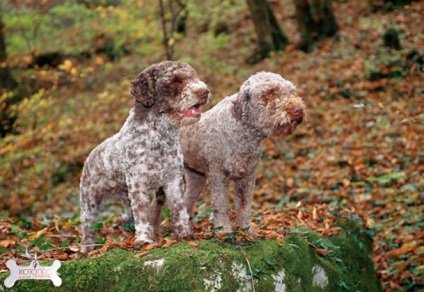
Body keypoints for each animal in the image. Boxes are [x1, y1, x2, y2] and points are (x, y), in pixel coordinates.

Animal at [79, 61, 209, 251]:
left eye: (194, 76)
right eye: (175, 81)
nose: (205, 91)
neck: (158, 138)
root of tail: (90, 156)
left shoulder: (173, 179)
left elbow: (178, 209)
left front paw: (184, 234)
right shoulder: (138, 182)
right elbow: (142, 214)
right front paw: (144, 240)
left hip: (124, 195)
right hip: (90, 201)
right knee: (87, 229)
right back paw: (86, 250)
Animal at [177, 71, 306, 235]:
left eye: (291, 91)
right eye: (270, 93)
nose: (298, 110)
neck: (242, 131)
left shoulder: (247, 177)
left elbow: (244, 206)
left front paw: (247, 231)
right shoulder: (218, 177)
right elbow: (220, 206)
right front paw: (224, 231)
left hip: (196, 177)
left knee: (188, 200)